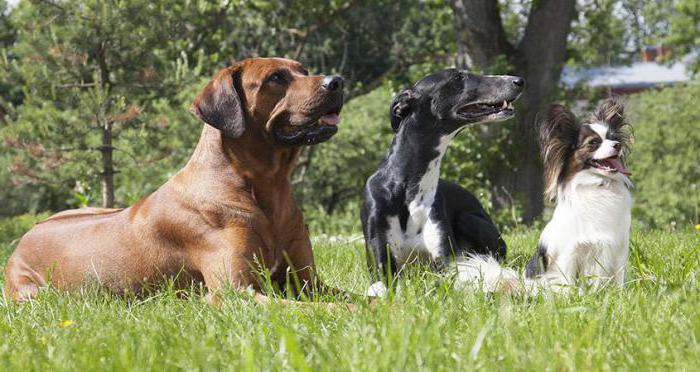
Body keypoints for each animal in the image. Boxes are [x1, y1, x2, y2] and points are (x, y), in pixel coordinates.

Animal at [2, 56, 348, 304]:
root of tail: (20, 243)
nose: (338, 81)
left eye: (304, 70)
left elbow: (345, 297)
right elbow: (322, 309)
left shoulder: (309, 283)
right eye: (276, 77)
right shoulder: (235, 293)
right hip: (34, 294)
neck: (268, 187)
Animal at [364, 69, 524, 296]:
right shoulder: (380, 256)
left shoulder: (447, 260)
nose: (519, 80)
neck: (408, 188)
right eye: (458, 77)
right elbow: (382, 285)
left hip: (470, 220)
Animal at [462, 98, 632, 294]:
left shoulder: (618, 249)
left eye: (614, 138)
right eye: (593, 143)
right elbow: (568, 281)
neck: (599, 184)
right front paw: (572, 297)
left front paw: (620, 295)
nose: (617, 145)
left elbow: (619, 278)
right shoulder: (570, 251)